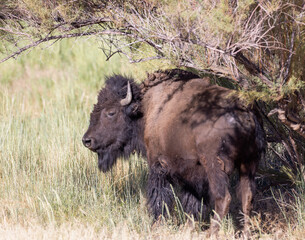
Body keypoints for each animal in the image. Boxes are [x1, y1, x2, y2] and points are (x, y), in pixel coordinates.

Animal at [82, 69, 264, 234]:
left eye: (111, 112)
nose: (87, 140)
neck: (145, 110)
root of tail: (244, 112)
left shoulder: (159, 166)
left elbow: (160, 198)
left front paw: (156, 226)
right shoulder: (194, 176)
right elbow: (193, 202)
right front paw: (188, 228)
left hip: (216, 167)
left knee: (223, 198)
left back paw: (212, 234)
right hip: (249, 164)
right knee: (247, 197)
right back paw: (246, 233)